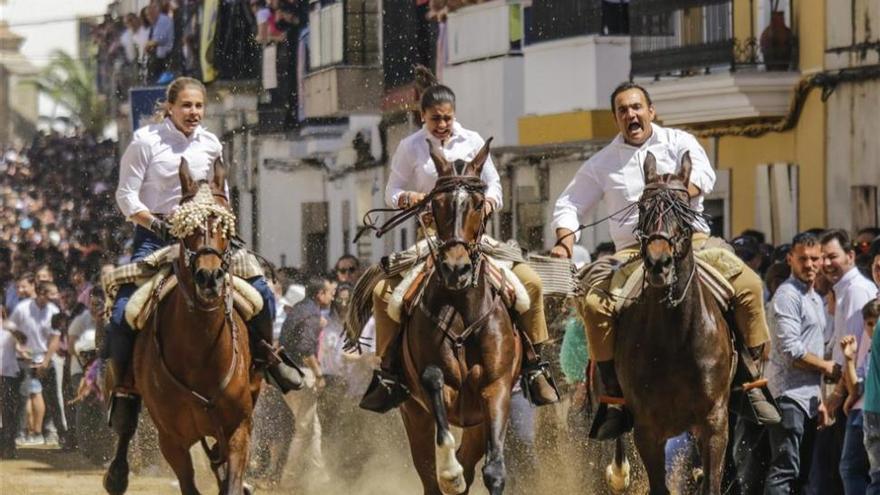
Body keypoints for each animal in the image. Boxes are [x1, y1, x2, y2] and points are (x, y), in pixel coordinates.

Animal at [103, 160, 262, 495]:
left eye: (225, 225)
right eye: (187, 228)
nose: (209, 278)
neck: (201, 354)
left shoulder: (239, 429)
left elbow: (231, 480)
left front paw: (238, 483)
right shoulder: (171, 440)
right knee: (125, 422)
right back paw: (117, 476)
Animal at [398, 138, 524, 494]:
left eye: (479, 204)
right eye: (436, 203)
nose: (456, 269)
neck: (461, 309)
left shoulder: (495, 389)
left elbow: (494, 470)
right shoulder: (437, 392)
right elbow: (433, 378)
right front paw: (449, 471)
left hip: (476, 423)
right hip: (413, 415)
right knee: (430, 475)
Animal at [604, 152, 736, 495]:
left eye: (684, 209)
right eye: (641, 208)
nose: (658, 263)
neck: (677, 338)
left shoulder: (715, 422)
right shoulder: (648, 430)